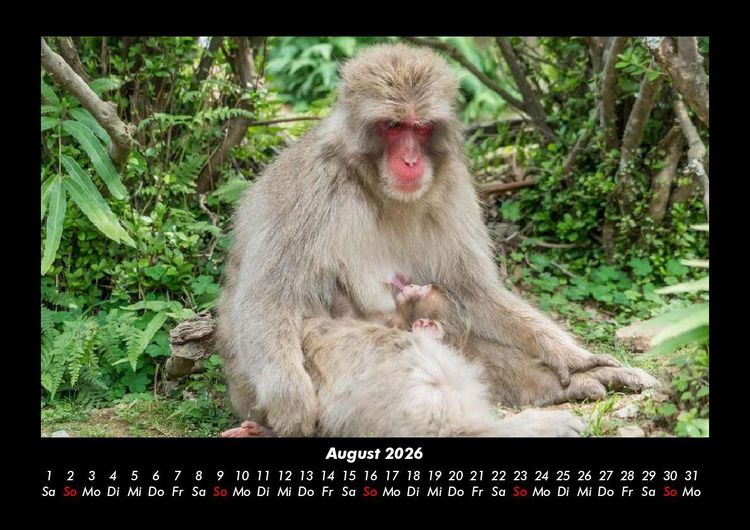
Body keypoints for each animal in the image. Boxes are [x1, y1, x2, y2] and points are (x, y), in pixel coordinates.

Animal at [217, 43, 658, 437]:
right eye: (394, 126)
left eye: (422, 127)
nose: (411, 160)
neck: (377, 188)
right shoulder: (310, 186)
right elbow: (268, 299)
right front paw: (291, 400)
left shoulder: (452, 185)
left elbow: (474, 290)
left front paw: (575, 359)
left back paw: (574, 383)